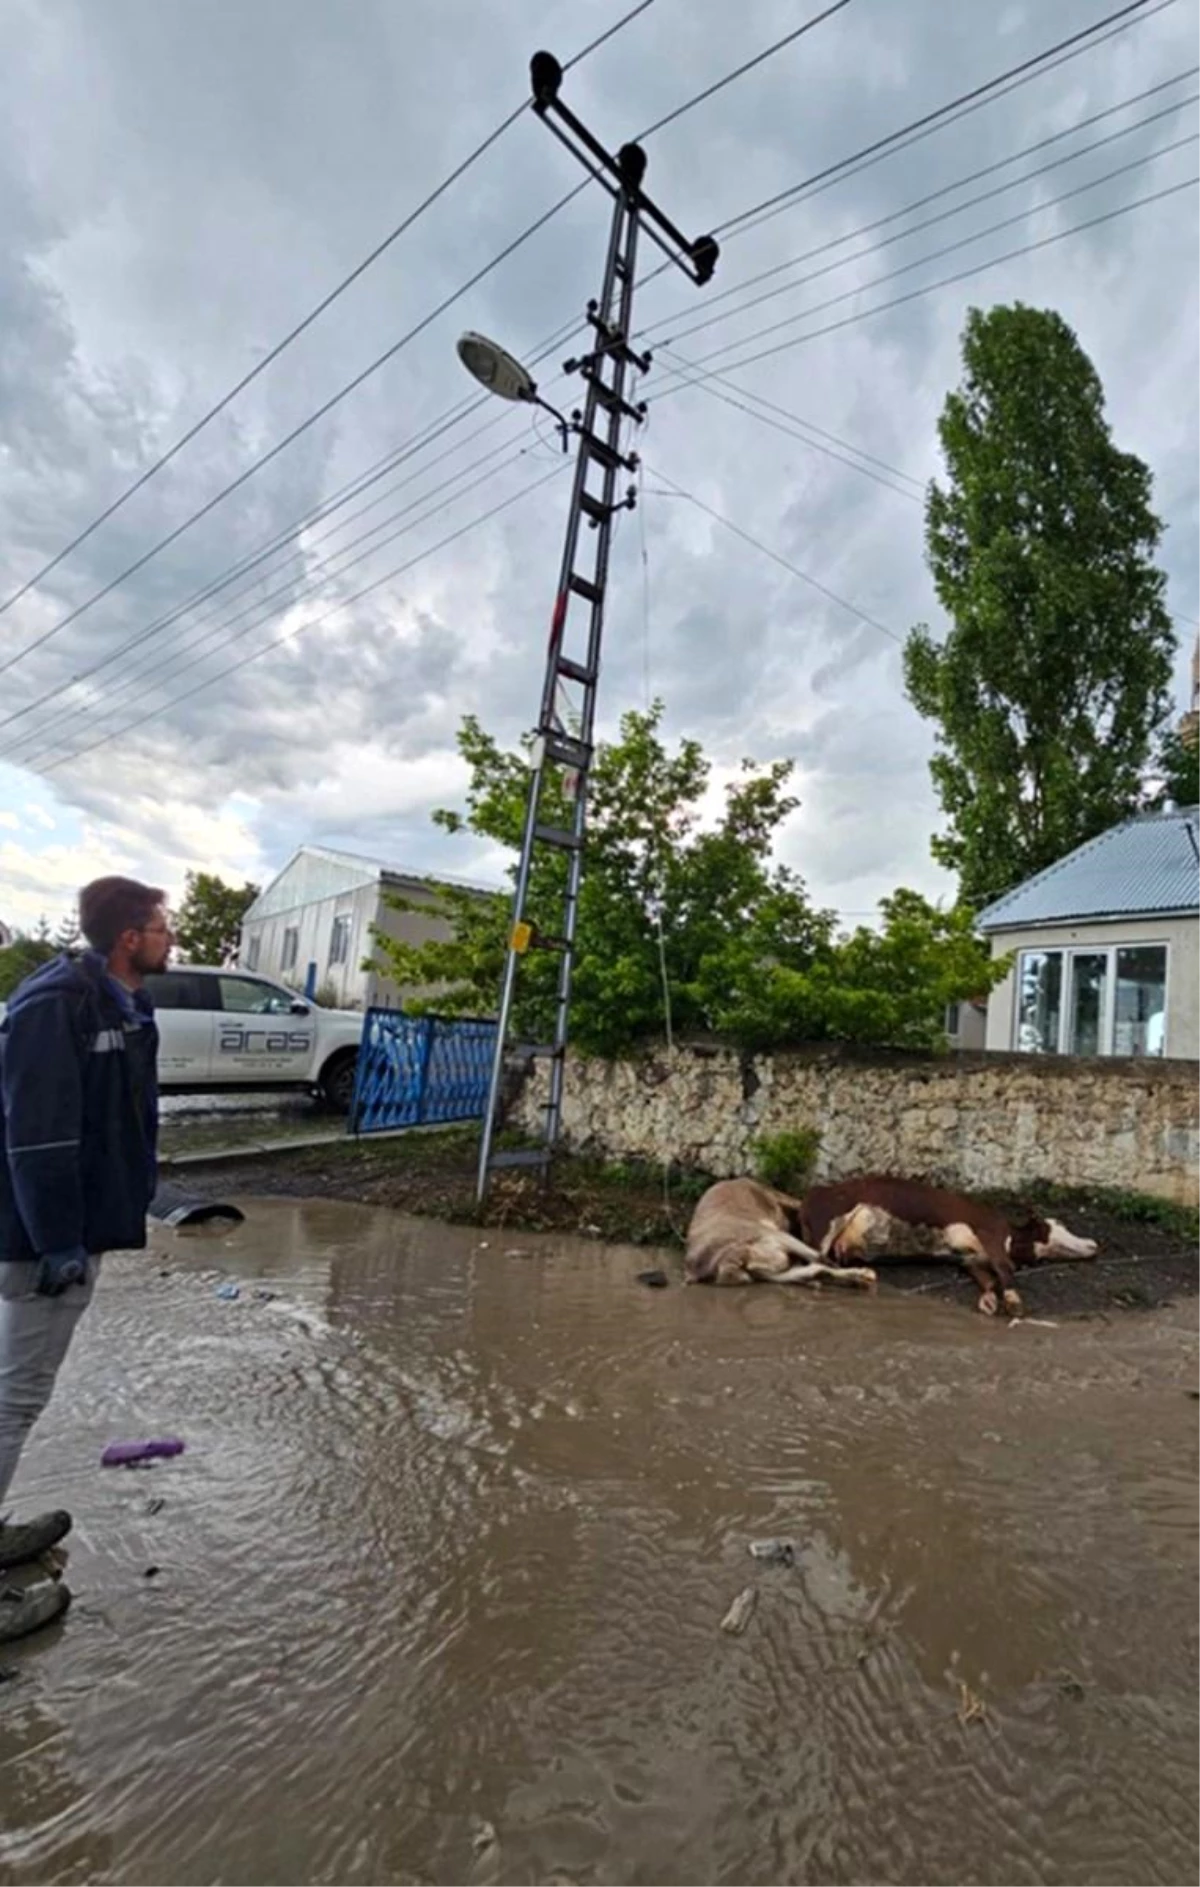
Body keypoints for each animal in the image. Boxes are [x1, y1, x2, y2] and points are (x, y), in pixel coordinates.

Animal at [796, 1169, 1094, 1320]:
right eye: (1056, 1225)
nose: (1093, 1243)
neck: (1011, 1236)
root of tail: (812, 1194)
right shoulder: (989, 1231)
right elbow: (1005, 1268)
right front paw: (1013, 1301)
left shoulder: (968, 1258)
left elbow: (988, 1278)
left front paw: (989, 1300)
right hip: (826, 1225)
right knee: (814, 1262)